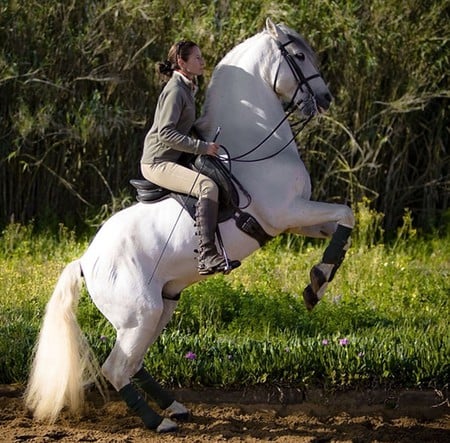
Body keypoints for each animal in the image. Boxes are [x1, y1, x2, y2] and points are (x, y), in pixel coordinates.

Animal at [25, 20, 356, 434]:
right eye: (298, 55)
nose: (325, 99)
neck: (258, 145)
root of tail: (85, 261)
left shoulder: (294, 222)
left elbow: (342, 224)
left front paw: (317, 282)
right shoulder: (288, 212)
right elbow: (346, 212)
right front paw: (317, 283)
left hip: (161, 308)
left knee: (133, 364)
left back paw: (176, 407)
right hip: (140, 315)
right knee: (116, 368)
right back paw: (159, 422)